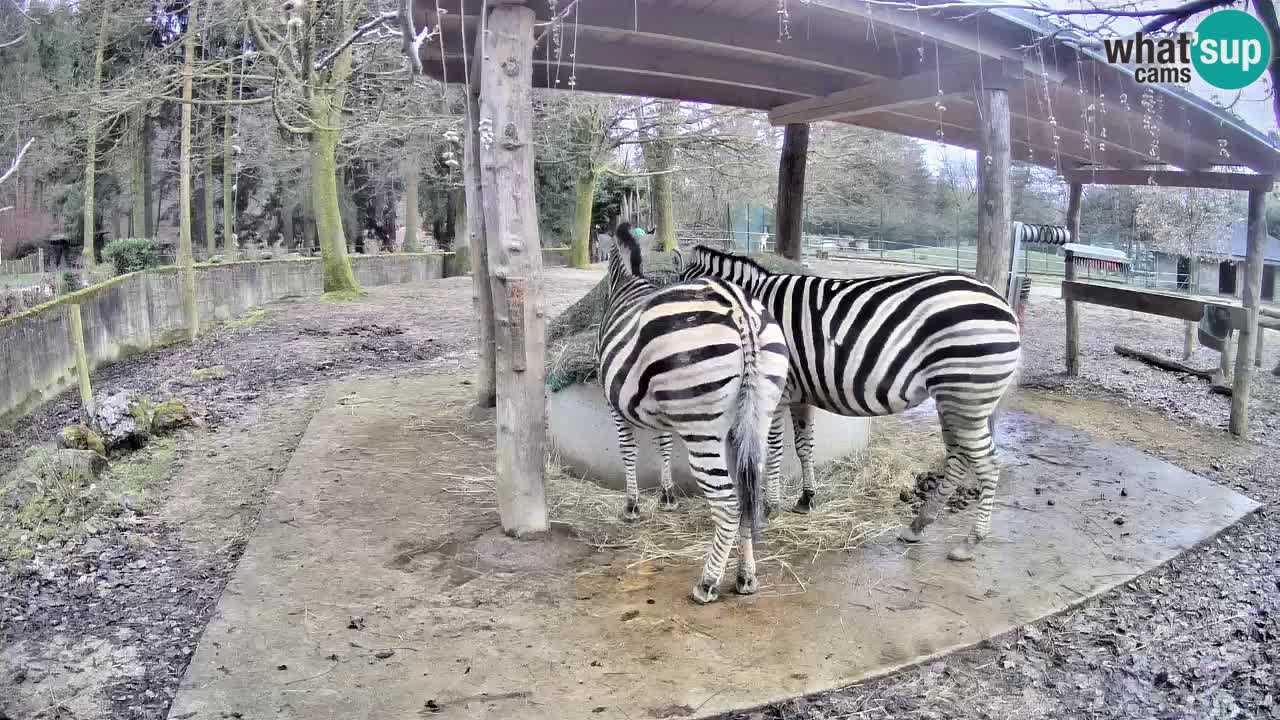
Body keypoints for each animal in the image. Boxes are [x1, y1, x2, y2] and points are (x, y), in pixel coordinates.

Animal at [596, 220, 788, 599]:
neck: (628, 282)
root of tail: (740, 310)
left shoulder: (616, 406)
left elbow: (628, 451)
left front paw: (632, 506)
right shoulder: (661, 409)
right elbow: (664, 445)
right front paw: (668, 496)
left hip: (702, 426)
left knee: (728, 502)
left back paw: (708, 582)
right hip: (756, 415)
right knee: (749, 494)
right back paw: (746, 577)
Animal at [670, 245, 1018, 561]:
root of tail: (1003, 304)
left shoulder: (778, 391)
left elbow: (775, 449)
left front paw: (770, 507)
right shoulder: (800, 395)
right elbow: (804, 445)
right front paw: (806, 499)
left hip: (966, 396)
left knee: (987, 463)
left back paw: (970, 542)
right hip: (953, 399)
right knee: (958, 459)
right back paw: (918, 525)